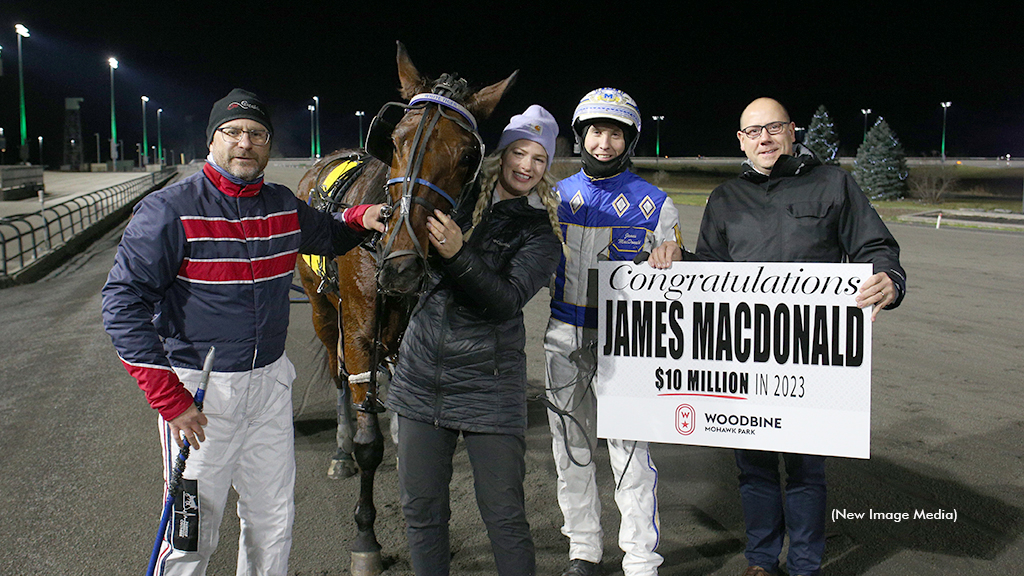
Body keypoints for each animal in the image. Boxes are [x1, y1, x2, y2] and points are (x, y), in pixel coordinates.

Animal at [296, 42, 520, 569]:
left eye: (467, 155)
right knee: (338, 371)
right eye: (396, 139)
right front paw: (366, 538)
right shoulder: (359, 324)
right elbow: (368, 441)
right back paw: (340, 450)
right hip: (321, 306)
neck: (381, 239)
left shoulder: (404, 313)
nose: (401, 266)